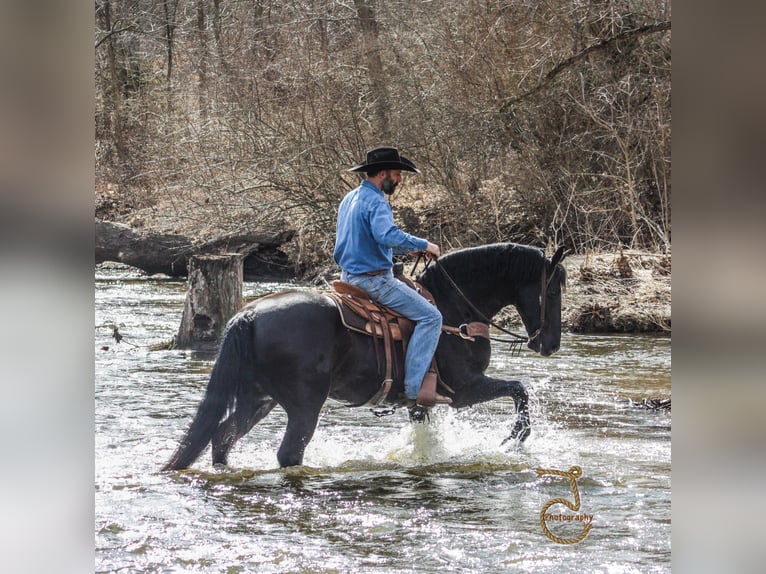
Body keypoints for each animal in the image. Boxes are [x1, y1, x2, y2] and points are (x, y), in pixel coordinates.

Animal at [164, 243, 568, 472]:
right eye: (552, 291)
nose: (550, 345)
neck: (454, 311)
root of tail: (247, 316)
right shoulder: (463, 389)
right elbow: (519, 390)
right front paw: (514, 439)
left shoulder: (419, 402)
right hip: (303, 405)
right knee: (288, 453)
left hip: (258, 399)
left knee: (222, 436)